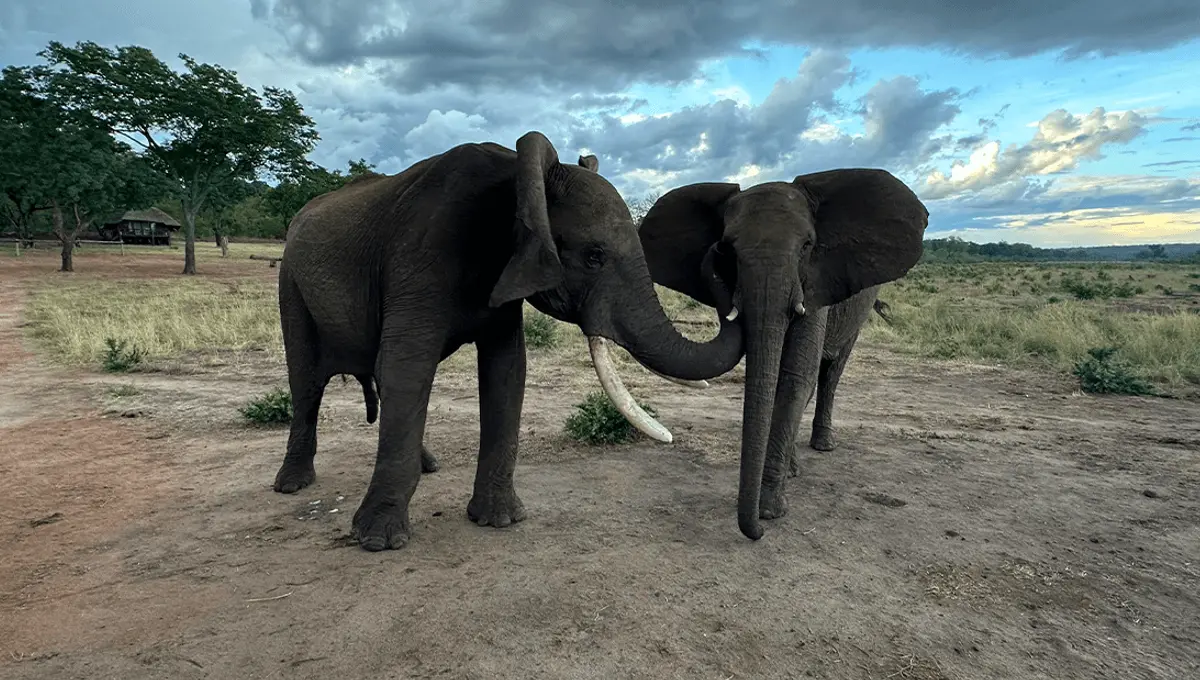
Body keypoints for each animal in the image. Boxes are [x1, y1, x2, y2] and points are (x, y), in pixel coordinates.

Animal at [274, 131, 739, 554]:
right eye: (593, 256)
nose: (721, 251)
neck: (516, 177)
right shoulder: (419, 258)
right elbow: (407, 368)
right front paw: (378, 541)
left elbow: (507, 370)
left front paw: (499, 520)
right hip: (290, 282)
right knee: (307, 382)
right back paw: (292, 485)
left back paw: (429, 465)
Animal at [638, 171, 926, 542]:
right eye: (727, 249)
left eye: (807, 246)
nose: (757, 531)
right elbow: (771, 378)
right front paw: (775, 495)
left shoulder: (816, 283)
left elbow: (794, 376)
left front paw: (770, 511)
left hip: (857, 313)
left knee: (830, 373)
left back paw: (823, 445)